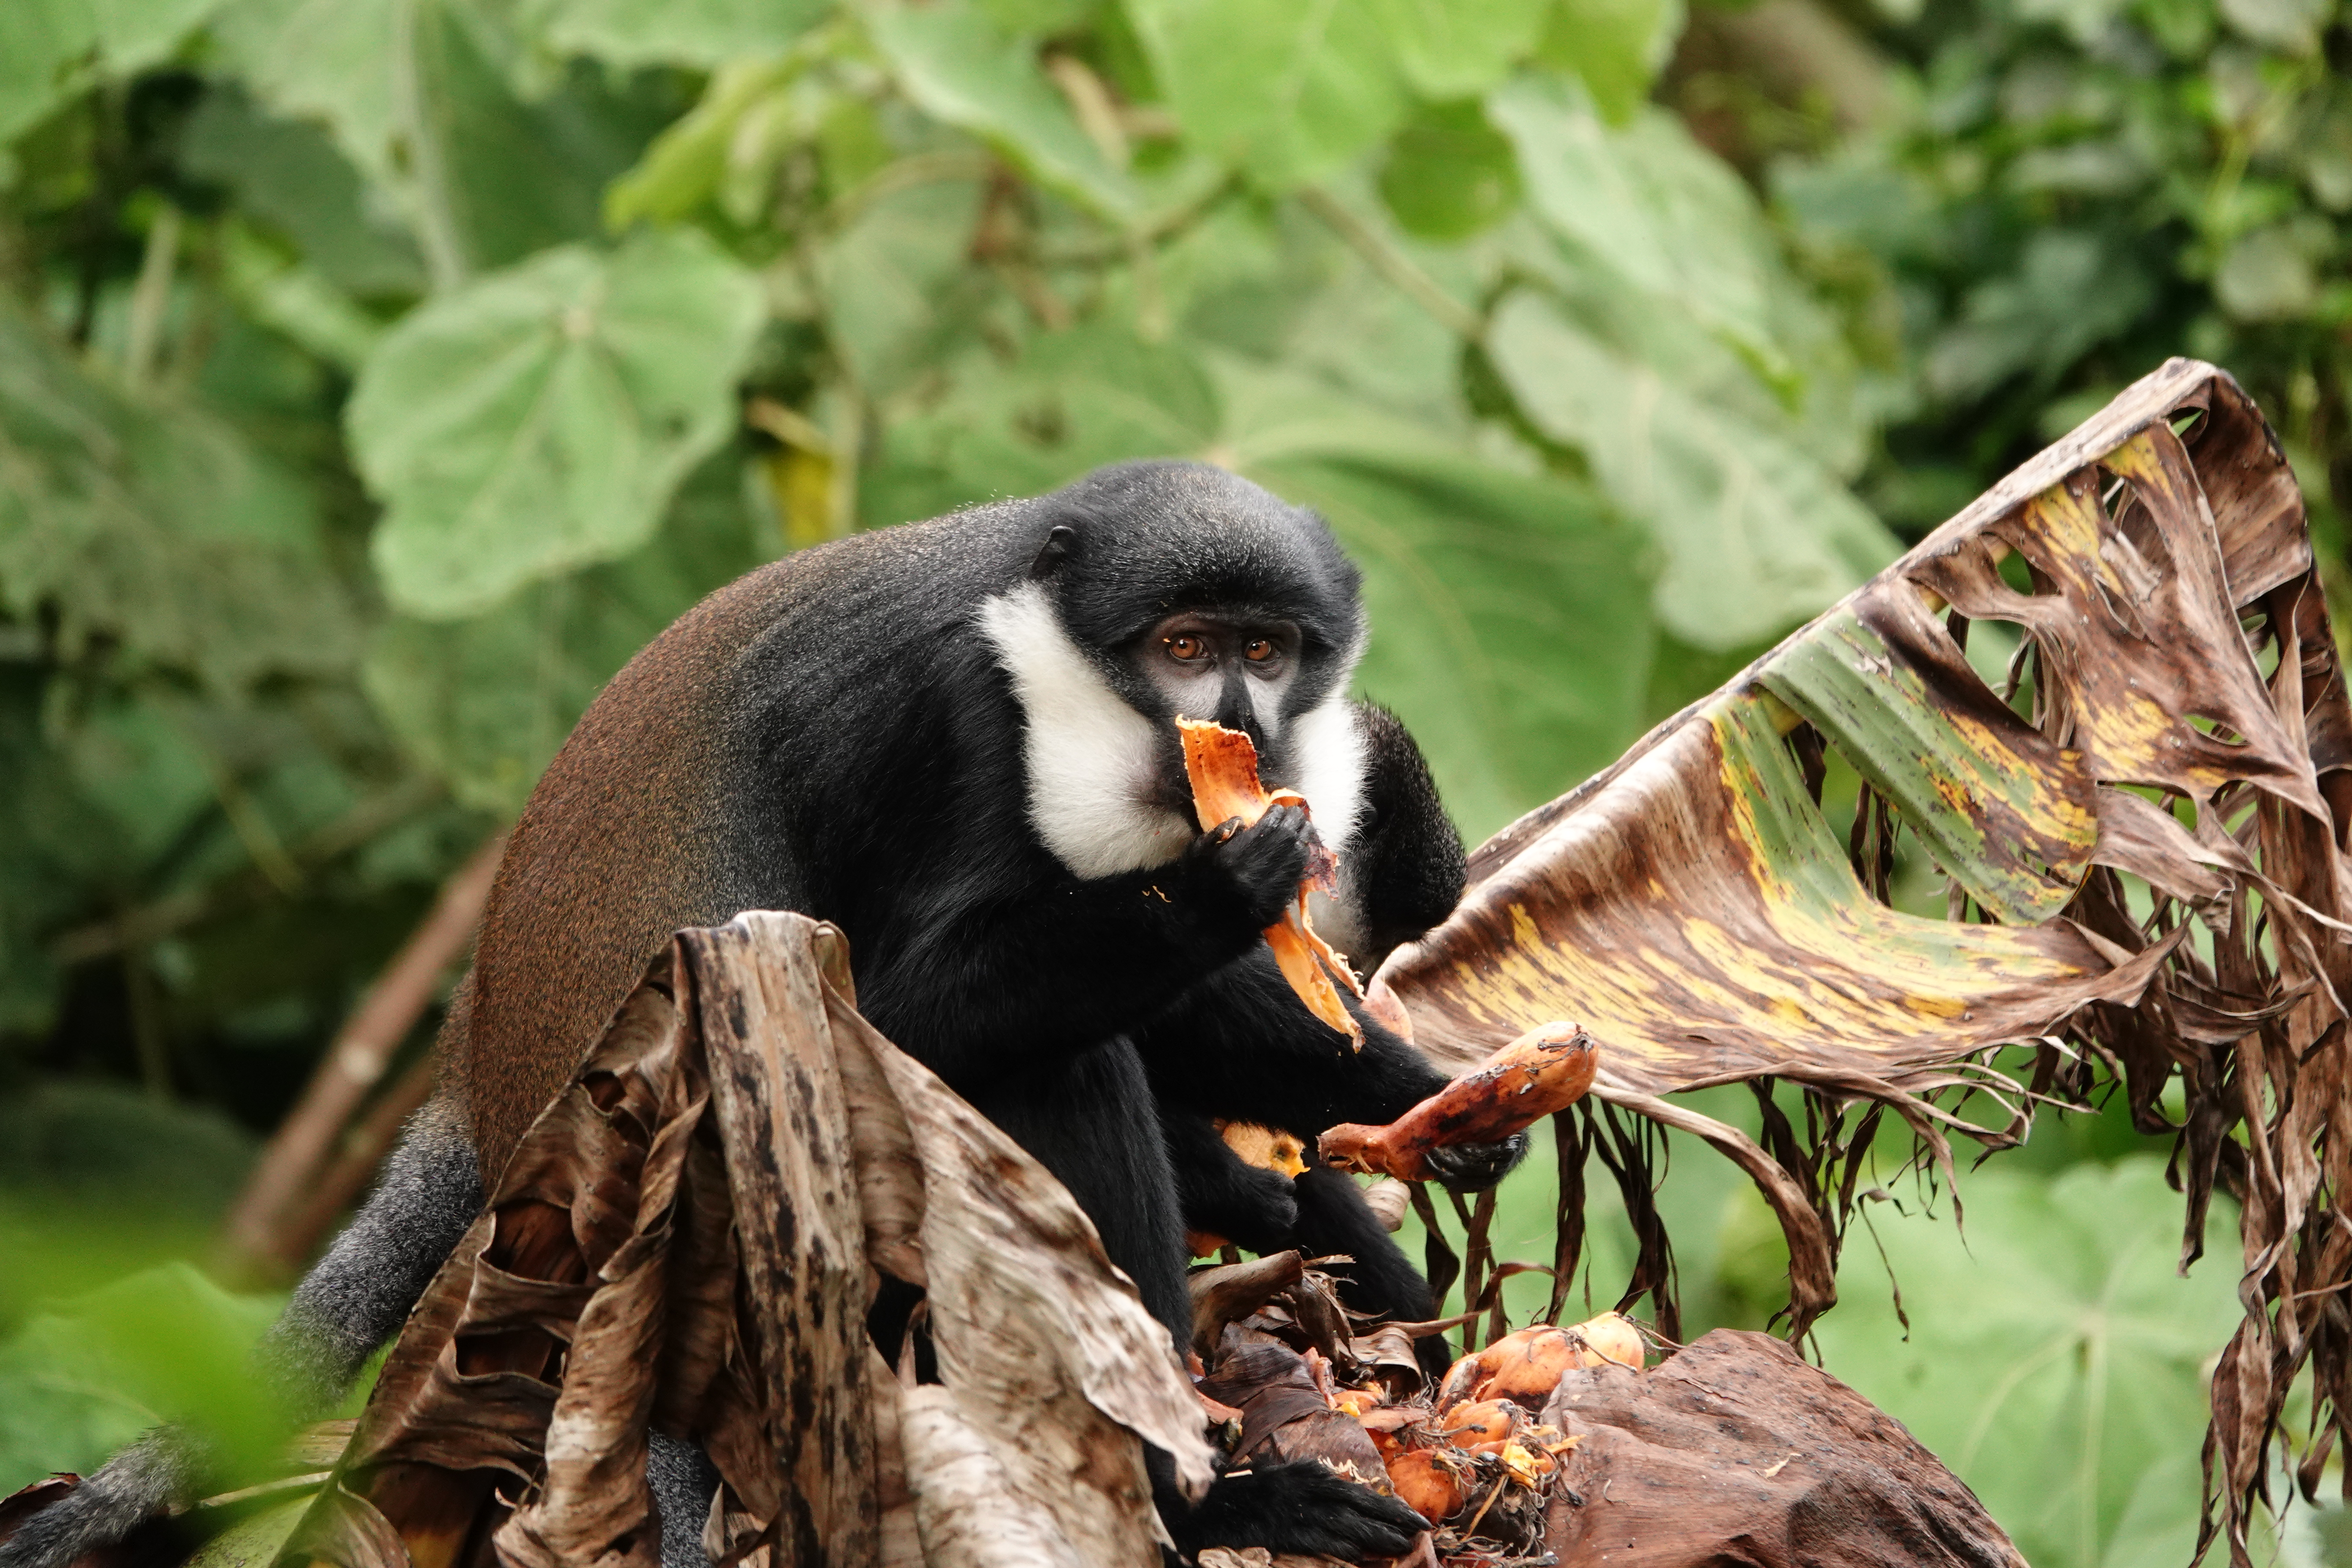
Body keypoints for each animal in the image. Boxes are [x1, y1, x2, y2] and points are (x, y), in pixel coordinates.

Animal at [2, 461, 1524, 1568]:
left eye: (1268, 648)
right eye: (1186, 644)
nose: (1243, 728)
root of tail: (487, 1061)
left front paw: (1431, 1106)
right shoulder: (954, 726)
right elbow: (932, 1003)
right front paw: (1221, 896)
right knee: (1058, 1068)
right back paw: (1193, 1504)